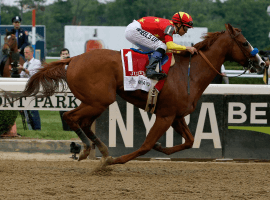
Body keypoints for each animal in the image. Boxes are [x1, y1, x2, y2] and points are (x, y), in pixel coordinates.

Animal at [2, 24, 264, 166]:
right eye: (244, 42)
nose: (262, 63)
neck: (189, 73)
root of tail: (72, 59)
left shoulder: (176, 115)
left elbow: (189, 141)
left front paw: (161, 147)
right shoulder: (165, 116)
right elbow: (145, 145)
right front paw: (114, 162)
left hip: (96, 101)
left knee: (81, 122)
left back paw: (98, 148)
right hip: (99, 100)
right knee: (70, 117)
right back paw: (89, 150)